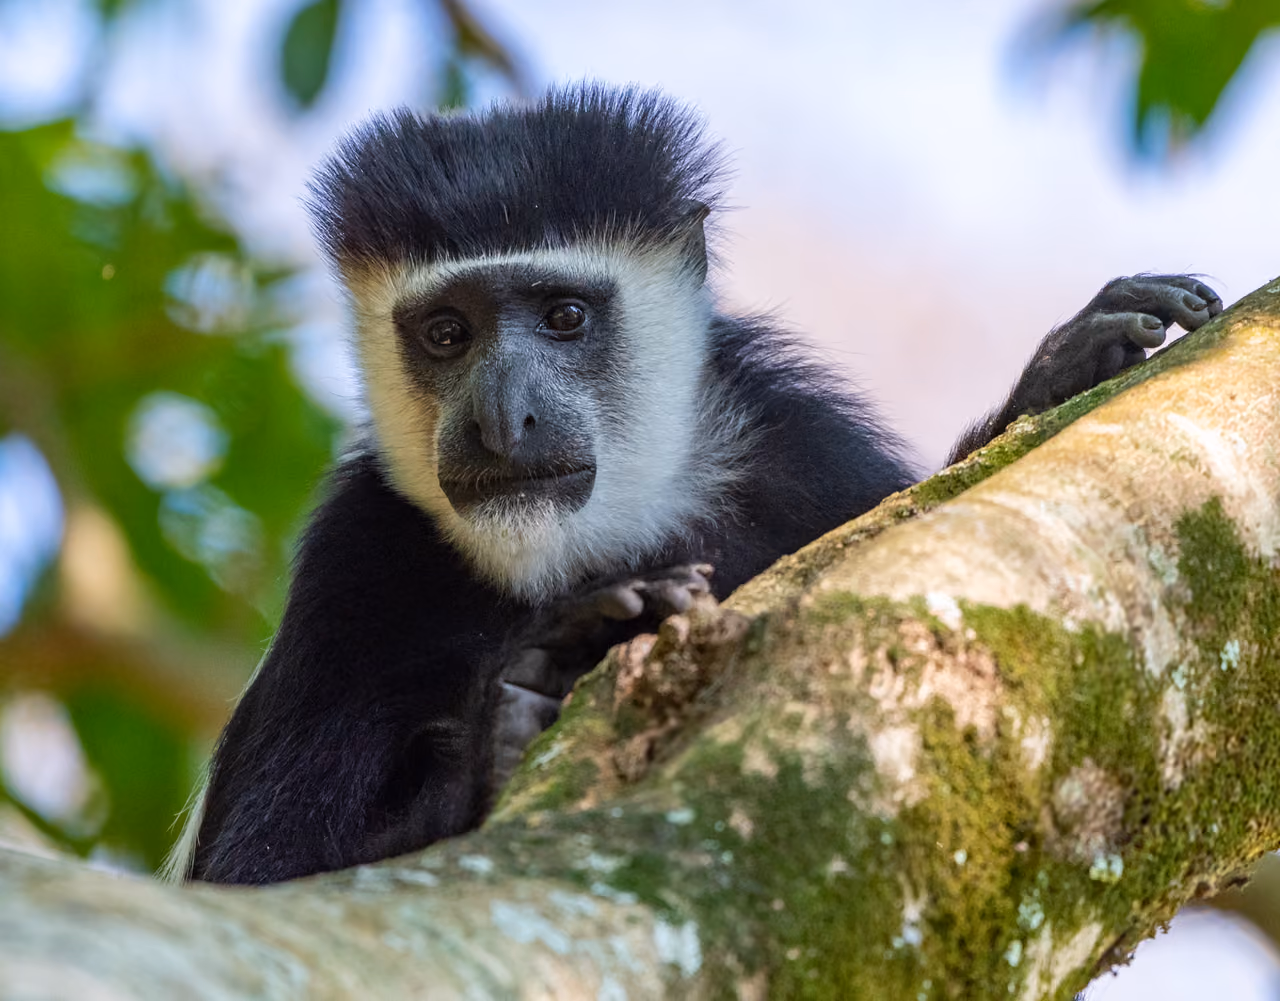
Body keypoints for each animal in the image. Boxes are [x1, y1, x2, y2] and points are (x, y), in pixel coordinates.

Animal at [165, 84, 1222, 885]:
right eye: (446, 334)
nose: (503, 420)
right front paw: (523, 696)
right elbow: (262, 875)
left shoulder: (803, 453)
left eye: (563, 315)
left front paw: (1065, 371)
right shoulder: (353, 569)